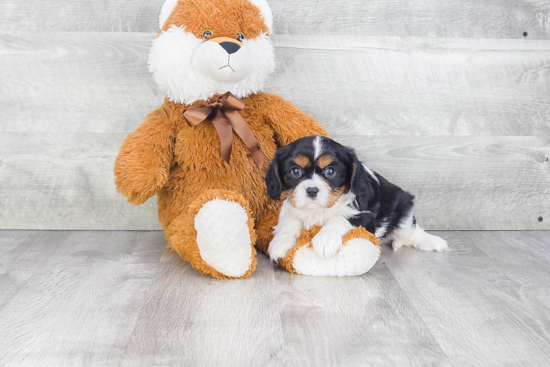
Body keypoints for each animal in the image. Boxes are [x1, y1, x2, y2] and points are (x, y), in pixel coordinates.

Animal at [266, 136, 450, 262]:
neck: (320, 210)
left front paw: (325, 240)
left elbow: (340, 218)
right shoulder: (291, 205)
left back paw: (432, 241)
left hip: (403, 208)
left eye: (330, 171)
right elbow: (289, 221)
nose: (312, 190)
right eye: (295, 171)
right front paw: (280, 242)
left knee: (412, 232)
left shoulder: (366, 216)